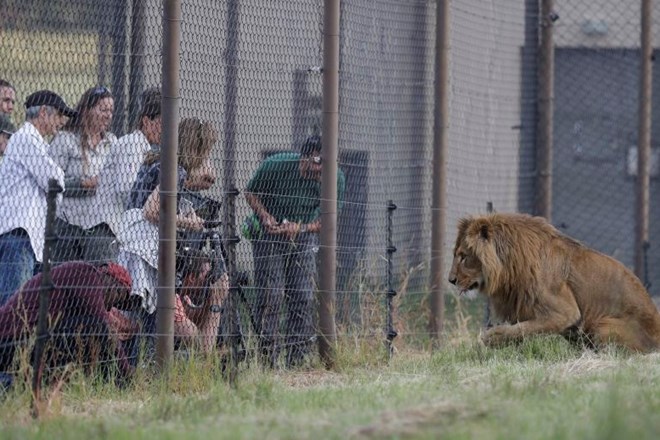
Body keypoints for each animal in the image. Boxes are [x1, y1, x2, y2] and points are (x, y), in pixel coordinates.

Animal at [448, 211, 660, 352]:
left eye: (463, 257)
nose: (450, 280)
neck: (509, 266)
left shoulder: (566, 312)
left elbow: (525, 328)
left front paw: (492, 337)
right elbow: (522, 330)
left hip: (603, 325)